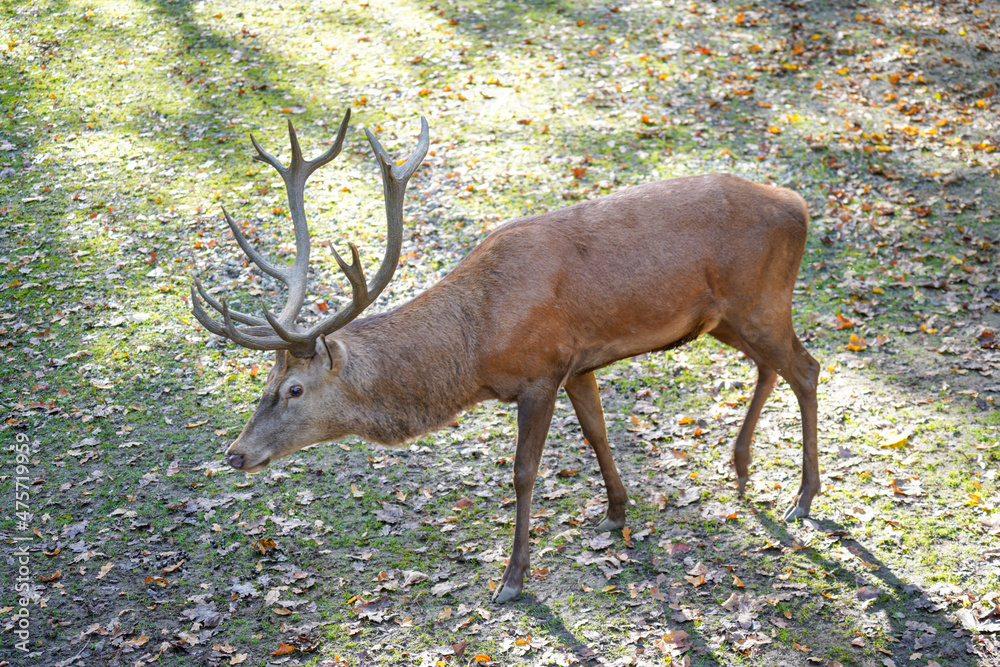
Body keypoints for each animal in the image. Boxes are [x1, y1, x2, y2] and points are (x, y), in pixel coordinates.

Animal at [189, 111, 820, 604]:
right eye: (266, 380)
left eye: (294, 388)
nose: (235, 453)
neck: (477, 348)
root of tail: (799, 205)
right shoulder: (579, 365)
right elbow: (597, 433)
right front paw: (617, 511)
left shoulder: (541, 373)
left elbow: (523, 471)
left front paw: (513, 579)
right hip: (726, 320)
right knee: (774, 366)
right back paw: (741, 466)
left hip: (760, 300)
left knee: (807, 368)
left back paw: (802, 497)